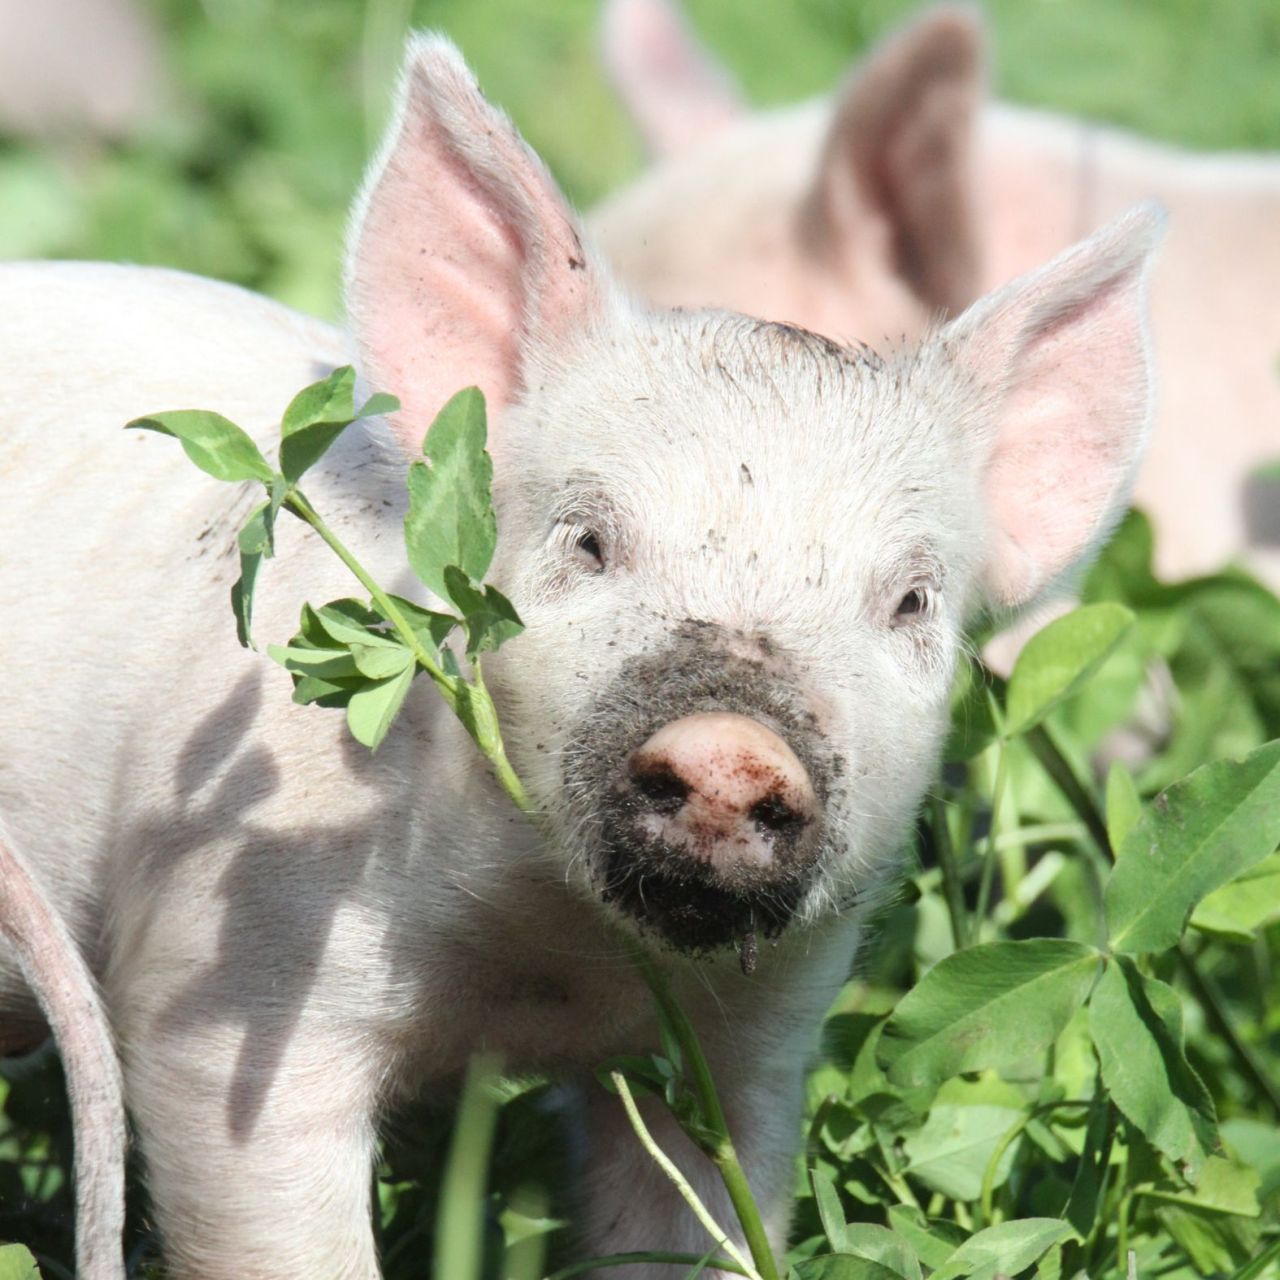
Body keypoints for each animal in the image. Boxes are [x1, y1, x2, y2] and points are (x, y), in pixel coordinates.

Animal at [0, 24, 1162, 1274]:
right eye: (589, 540)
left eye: (907, 601)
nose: (731, 745)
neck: (544, 969)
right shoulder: (227, 962)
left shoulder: (760, 1030)